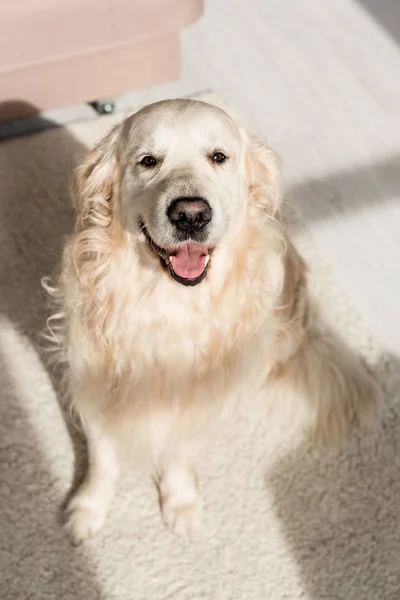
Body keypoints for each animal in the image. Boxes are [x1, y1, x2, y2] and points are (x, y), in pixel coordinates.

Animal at [43, 98, 382, 544]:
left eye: (218, 157)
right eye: (148, 161)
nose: (190, 215)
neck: (169, 302)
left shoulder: (201, 391)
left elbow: (178, 450)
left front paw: (180, 502)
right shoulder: (91, 379)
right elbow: (103, 456)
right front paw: (89, 507)